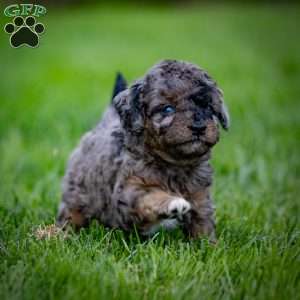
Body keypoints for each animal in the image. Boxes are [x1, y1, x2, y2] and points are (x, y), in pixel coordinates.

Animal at [56, 59, 230, 240]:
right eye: (168, 109)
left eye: (208, 107)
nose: (199, 127)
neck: (174, 164)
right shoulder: (131, 190)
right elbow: (151, 196)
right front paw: (173, 202)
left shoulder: (200, 196)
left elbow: (202, 224)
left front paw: (208, 245)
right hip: (77, 192)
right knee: (72, 213)